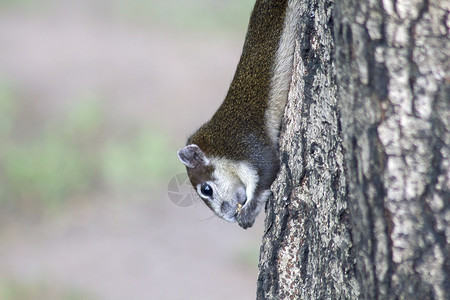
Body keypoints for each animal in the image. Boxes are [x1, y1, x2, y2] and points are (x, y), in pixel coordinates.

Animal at [177, 0, 298, 229]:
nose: (230, 216)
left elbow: (268, 167)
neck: (216, 142)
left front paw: (249, 212)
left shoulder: (244, 144)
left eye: (206, 189)